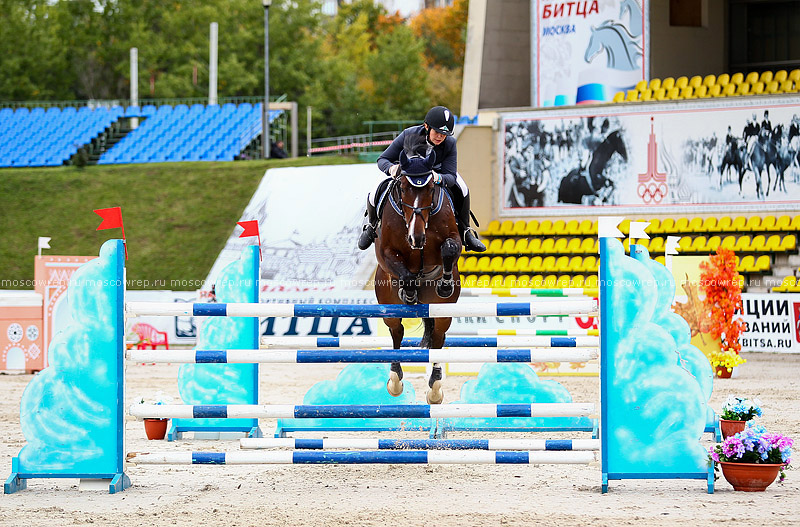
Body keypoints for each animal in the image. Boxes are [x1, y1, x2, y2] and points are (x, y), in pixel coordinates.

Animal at [374, 151, 462, 406]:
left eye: (432, 188)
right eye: (402, 187)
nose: (416, 238)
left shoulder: (453, 238)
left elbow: (450, 248)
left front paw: (444, 284)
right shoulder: (386, 252)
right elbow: (402, 269)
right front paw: (409, 289)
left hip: (442, 311)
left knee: (438, 337)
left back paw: (435, 388)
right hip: (388, 306)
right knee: (397, 332)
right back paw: (395, 381)